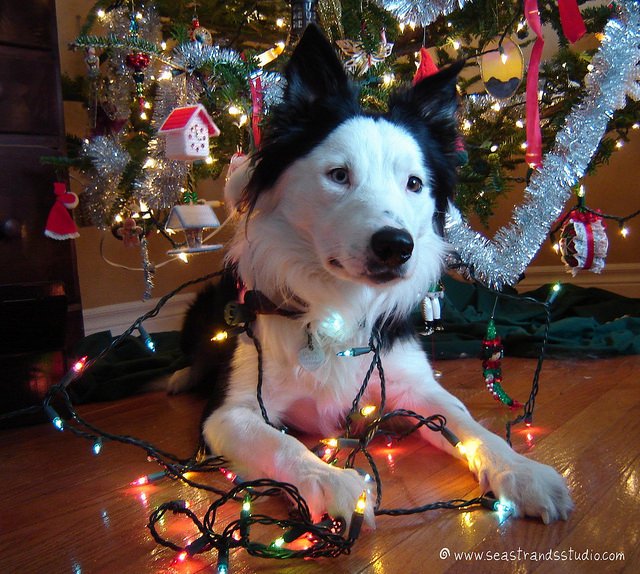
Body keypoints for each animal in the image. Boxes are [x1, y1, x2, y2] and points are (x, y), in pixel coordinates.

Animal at [172, 24, 572, 528]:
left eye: (415, 183)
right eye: (338, 175)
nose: (397, 247)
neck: (340, 305)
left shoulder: (416, 386)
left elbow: (469, 425)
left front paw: (522, 472)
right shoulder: (230, 412)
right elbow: (283, 445)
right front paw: (332, 482)